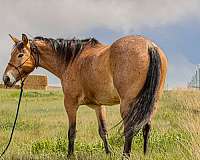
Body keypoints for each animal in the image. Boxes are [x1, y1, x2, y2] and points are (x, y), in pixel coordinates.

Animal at [2, 33, 168, 158]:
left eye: (20, 54)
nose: (6, 78)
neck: (71, 60)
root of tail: (149, 46)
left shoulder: (70, 104)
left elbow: (72, 132)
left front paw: (70, 155)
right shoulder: (98, 106)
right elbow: (103, 131)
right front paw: (108, 153)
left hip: (128, 104)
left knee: (130, 129)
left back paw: (125, 155)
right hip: (151, 102)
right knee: (146, 127)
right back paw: (145, 154)